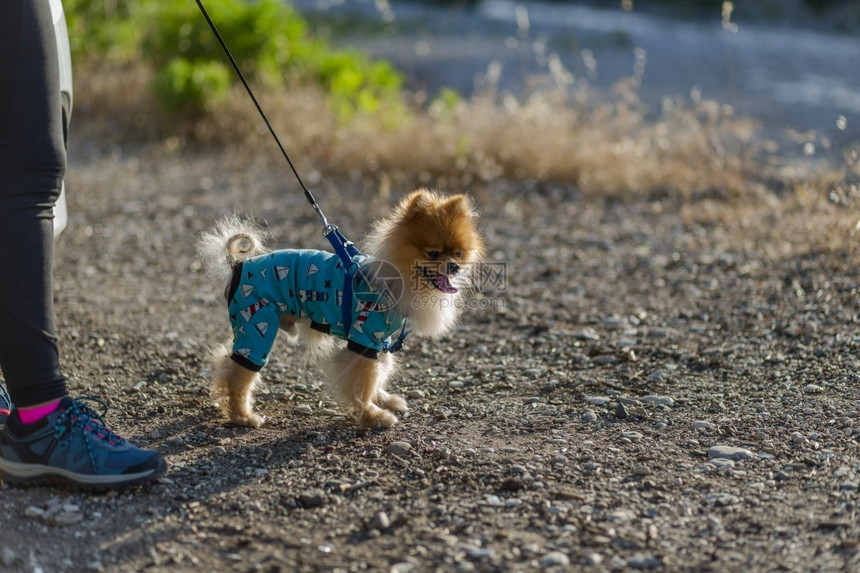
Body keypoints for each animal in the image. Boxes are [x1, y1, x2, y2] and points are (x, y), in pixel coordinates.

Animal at [197, 190, 488, 426]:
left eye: (459, 253)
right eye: (433, 253)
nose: (455, 266)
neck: (394, 278)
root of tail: (238, 265)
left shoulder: (380, 340)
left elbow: (380, 372)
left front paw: (383, 399)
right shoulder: (364, 339)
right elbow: (364, 381)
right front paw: (372, 415)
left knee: (226, 363)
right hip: (257, 325)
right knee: (238, 373)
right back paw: (242, 416)